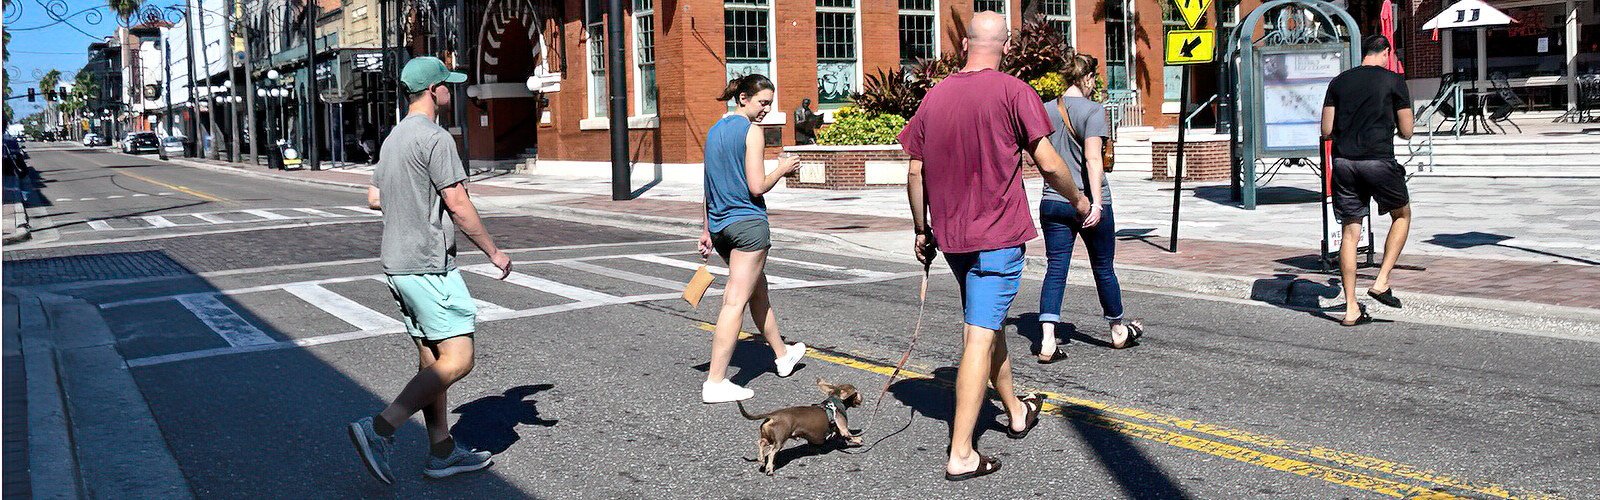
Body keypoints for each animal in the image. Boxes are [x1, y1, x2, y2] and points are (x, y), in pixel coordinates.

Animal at [736, 376, 864, 474]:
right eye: (856, 392)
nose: (862, 398)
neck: (835, 402)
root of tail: (773, 415)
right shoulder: (843, 428)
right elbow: (848, 435)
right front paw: (858, 439)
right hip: (780, 439)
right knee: (772, 452)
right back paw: (769, 468)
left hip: (769, 438)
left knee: (761, 443)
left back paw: (762, 459)